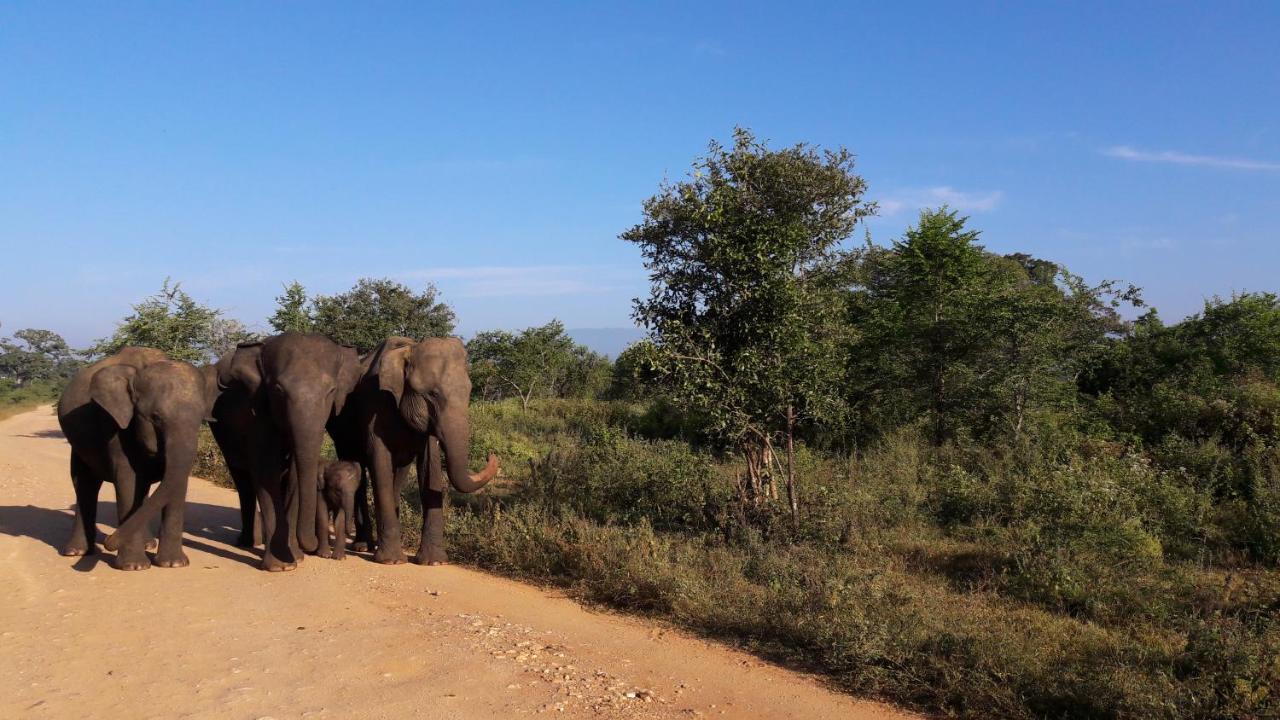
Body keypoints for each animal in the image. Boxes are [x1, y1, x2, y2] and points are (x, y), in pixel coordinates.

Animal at [60, 345, 208, 568]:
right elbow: (128, 479)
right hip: (79, 445)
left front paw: (173, 564)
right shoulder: (115, 425)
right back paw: (76, 552)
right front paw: (134, 567)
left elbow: (176, 482)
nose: (108, 541)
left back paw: (148, 544)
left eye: (201, 417)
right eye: (156, 417)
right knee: (85, 484)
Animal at [335, 333, 499, 563]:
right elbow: (379, 460)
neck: (408, 351)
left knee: (397, 475)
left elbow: (430, 466)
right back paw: (363, 546)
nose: (491, 456)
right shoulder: (373, 405)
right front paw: (392, 561)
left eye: (469, 391)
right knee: (357, 469)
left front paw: (434, 561)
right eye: (432, 394)